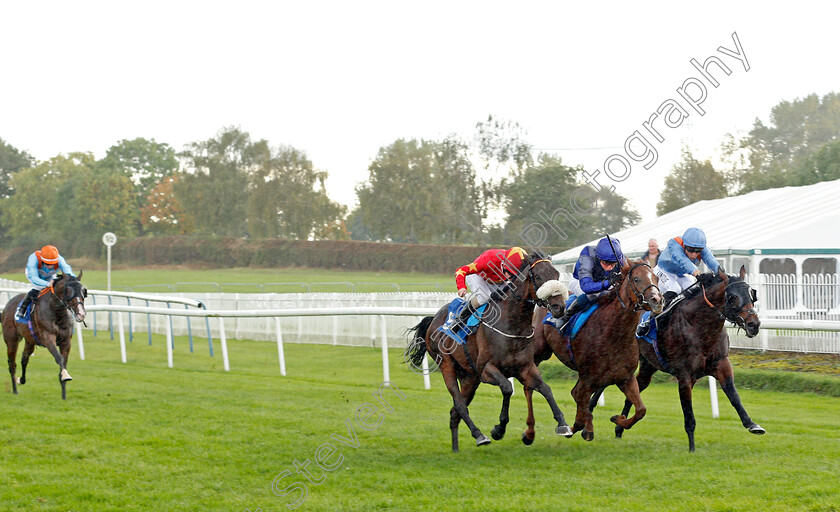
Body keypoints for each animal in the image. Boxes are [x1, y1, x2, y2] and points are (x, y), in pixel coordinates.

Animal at [2, 272, 87, 400]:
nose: (81, 314)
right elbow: (59, 358)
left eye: (83, 291)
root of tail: (7, 306)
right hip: (11, 340)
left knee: (24, 359)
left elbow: (64, 362)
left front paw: (64, 395)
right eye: (68, 291)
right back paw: (15, 390)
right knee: (12, 364)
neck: (57, 312)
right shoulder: (48, 338)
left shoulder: (66, 341)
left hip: (30, 340)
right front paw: (65, 376)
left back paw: (21, 380)